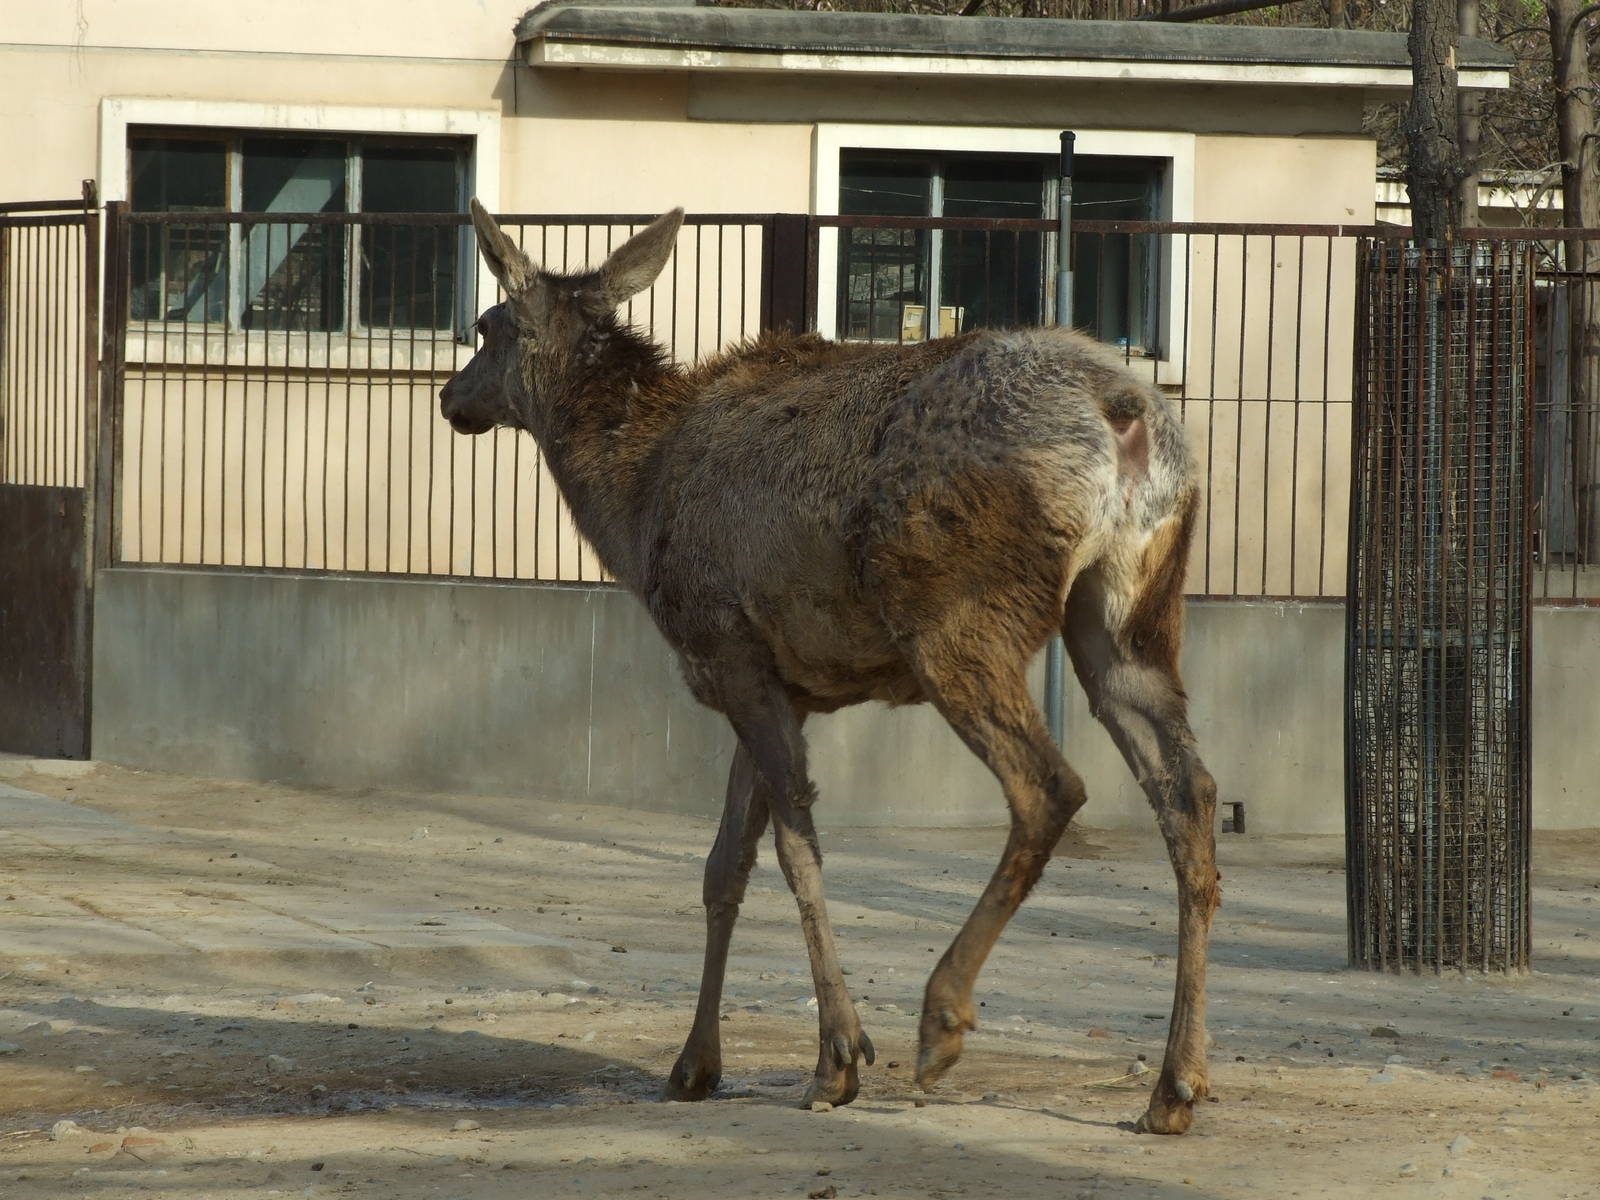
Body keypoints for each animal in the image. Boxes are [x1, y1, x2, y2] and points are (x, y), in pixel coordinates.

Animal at [439, 202, 1221, 1135]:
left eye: (487, 327)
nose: (449, 397)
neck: (631, 503)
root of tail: (1129, 415)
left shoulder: (726, 646)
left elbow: (793, 848)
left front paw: (837, 1058)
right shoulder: (778, 681)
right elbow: (722, 866)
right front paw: (694, 1063)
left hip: (954, 612)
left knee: (1050, 785)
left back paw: (941, 1019)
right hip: (1130, 616)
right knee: (1190, 794)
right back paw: (1175, 1086)